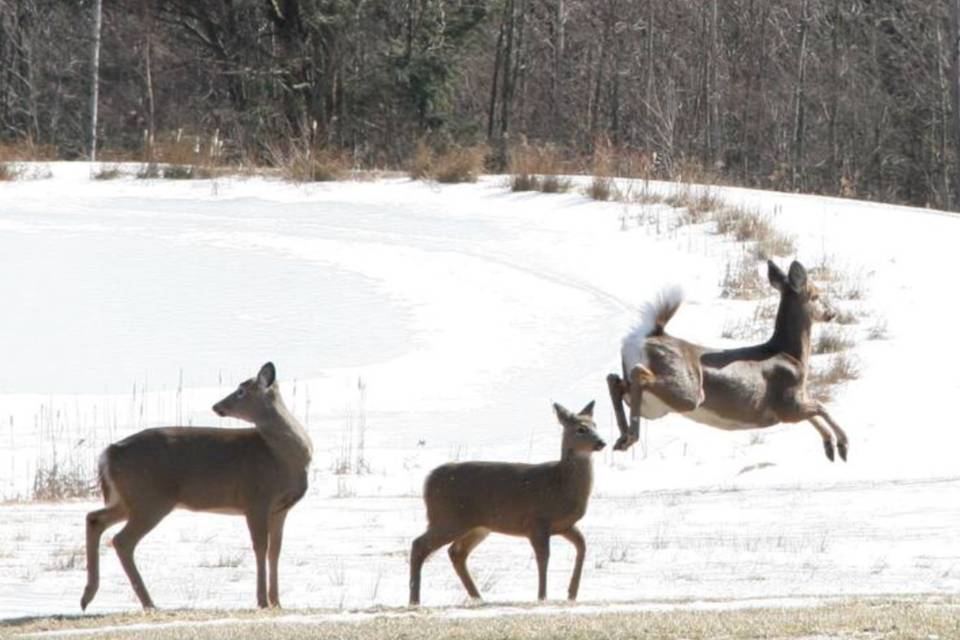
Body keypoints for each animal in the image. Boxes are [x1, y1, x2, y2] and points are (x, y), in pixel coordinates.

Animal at [80, 362, 312, 611]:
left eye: (241, 391)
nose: (217, 406)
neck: (281, 455)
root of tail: (109, 452)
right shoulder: (256, 499)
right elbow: (260, 547)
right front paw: (262, 601)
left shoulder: (280, 509)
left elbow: (275, 551)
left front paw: (277, 602)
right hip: (150, 499)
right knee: (121, 540)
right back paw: (148, 602)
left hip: (129, 499)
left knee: (95, 518)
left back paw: (88, 596)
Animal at [408, 401, 605, 606]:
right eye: (581, 429)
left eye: (596, 425)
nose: (601, 442)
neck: (561, 485)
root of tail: (428, 481)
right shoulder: (536, 521)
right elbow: (543, 558)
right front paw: (542, 597)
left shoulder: (564, 525)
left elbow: (582, 545)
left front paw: (571, 594)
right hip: (449, 518)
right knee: (419, 545)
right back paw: (415, 599)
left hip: (477, 526)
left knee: (456, 552)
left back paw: (478, 597)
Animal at [607, 260, 850, 462]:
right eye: (816, 294)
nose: (832, 313)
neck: (791, 354)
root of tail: (645, 337)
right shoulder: (787, 404)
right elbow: (821, 406)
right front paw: (842, 445)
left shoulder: (795, 403)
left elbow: (816, 412)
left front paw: (829, 447)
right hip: (687, 392)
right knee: (638, 375)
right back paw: (630, 436)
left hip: (654, 406)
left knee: (616, 380)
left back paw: (622, 438)